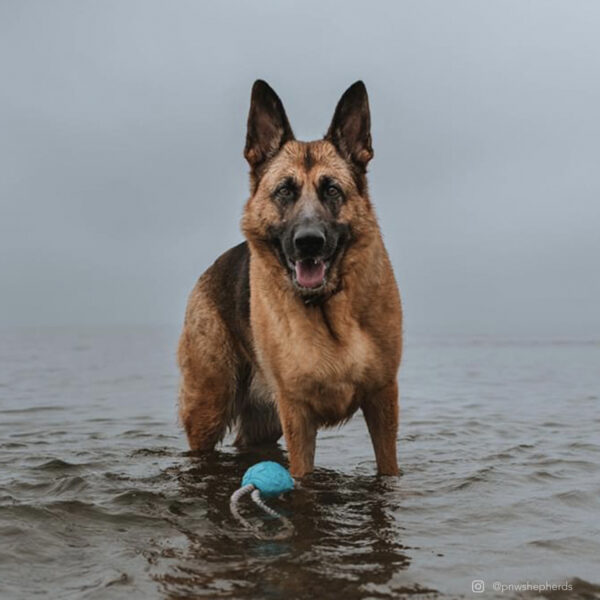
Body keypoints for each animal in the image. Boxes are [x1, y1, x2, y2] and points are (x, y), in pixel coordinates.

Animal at [178, 79, 404, 476]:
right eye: (285, 191)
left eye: (332, 189)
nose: (308, 241)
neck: (327, 311)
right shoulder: (297, 415)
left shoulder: (382, 401)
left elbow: (387, 467)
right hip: (209, 405)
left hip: (263, 424)